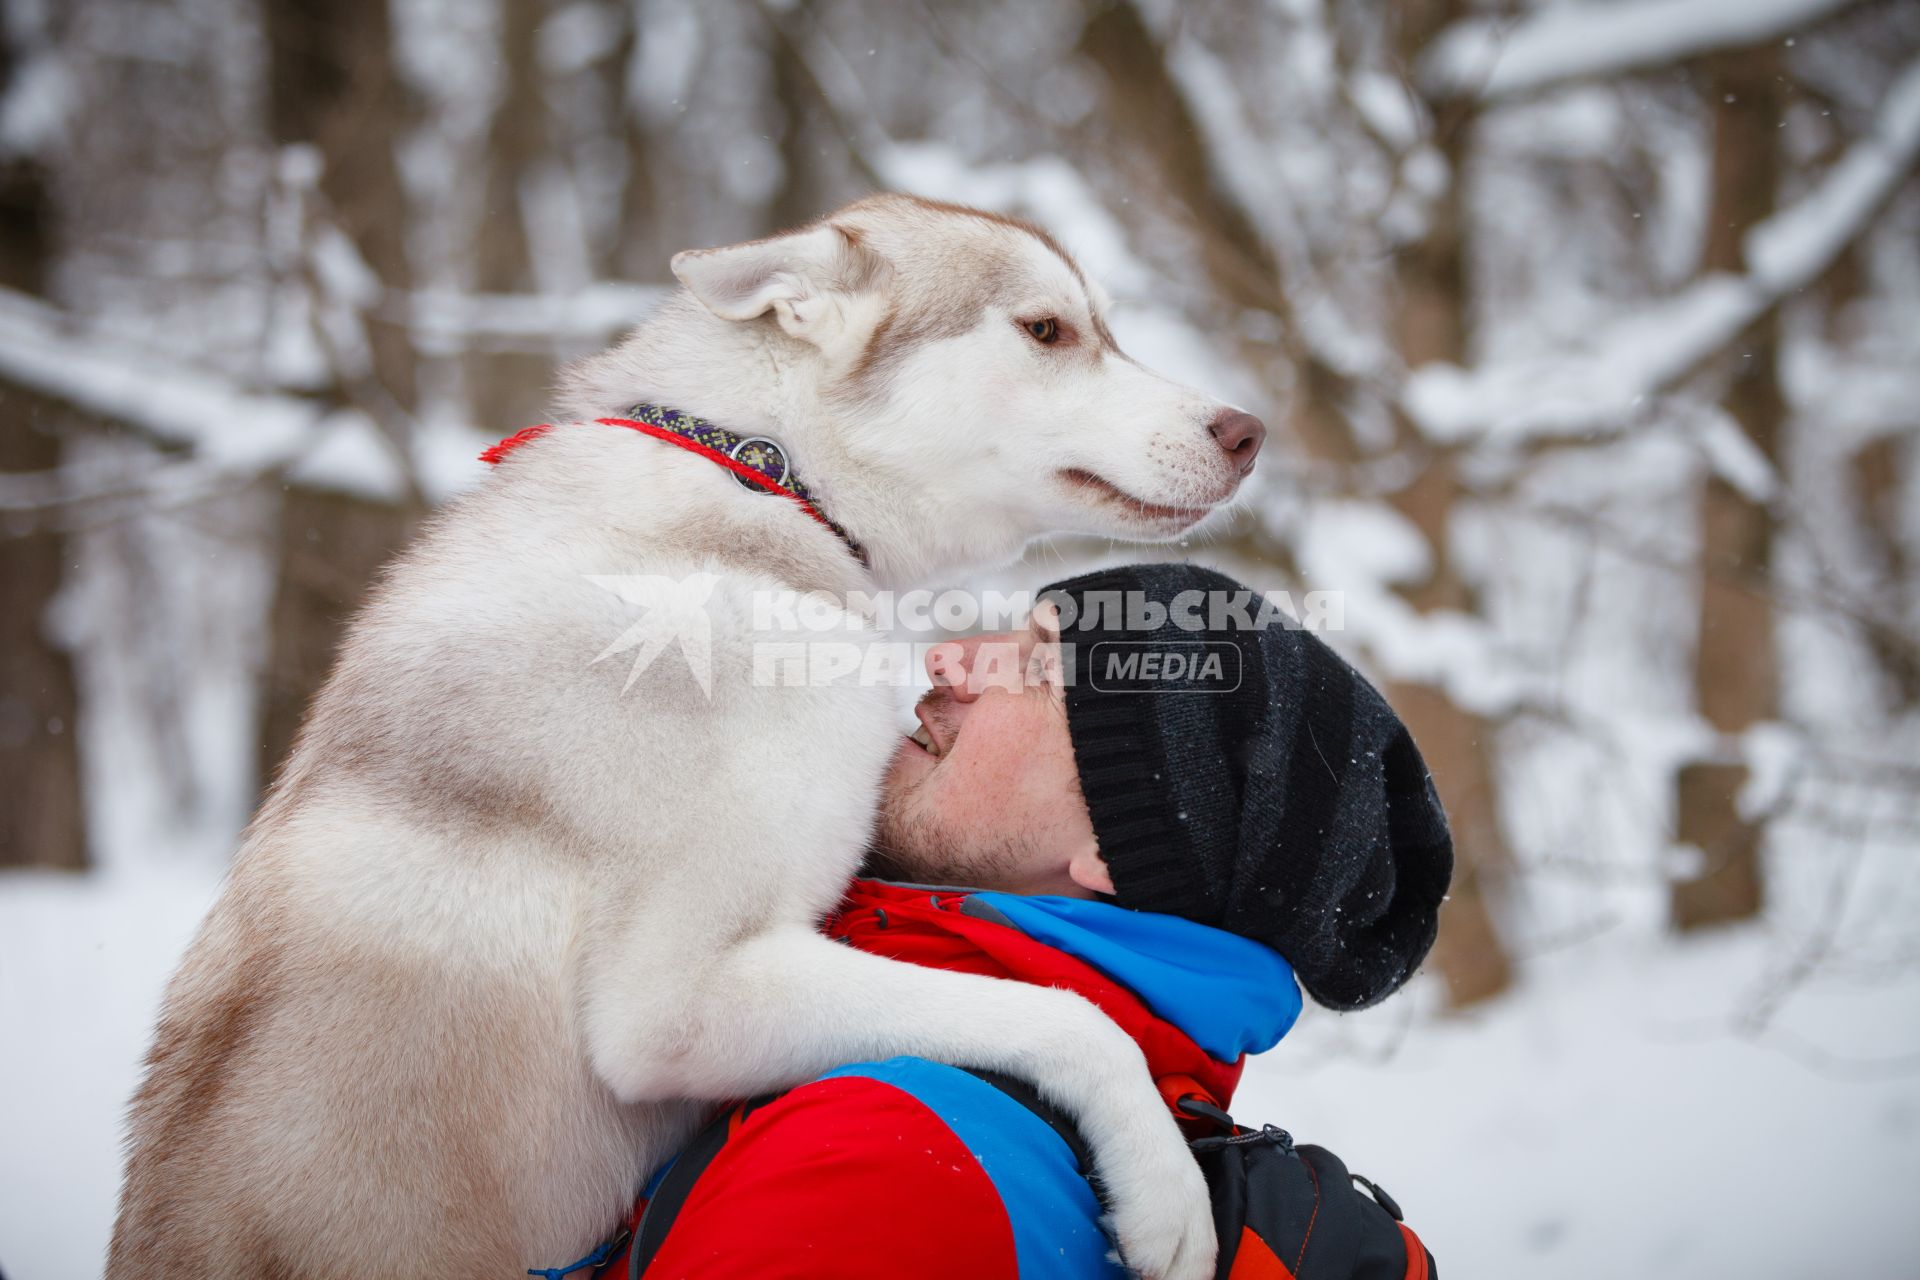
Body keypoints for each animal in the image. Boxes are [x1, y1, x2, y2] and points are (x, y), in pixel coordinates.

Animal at [112, 192, 1267, 1280]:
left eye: (1100, 326)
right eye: (1046, 329)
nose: (1247, 429)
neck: (764, 480)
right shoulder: (678, 1001)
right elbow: (1072, 1015)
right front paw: (1164, 1188)